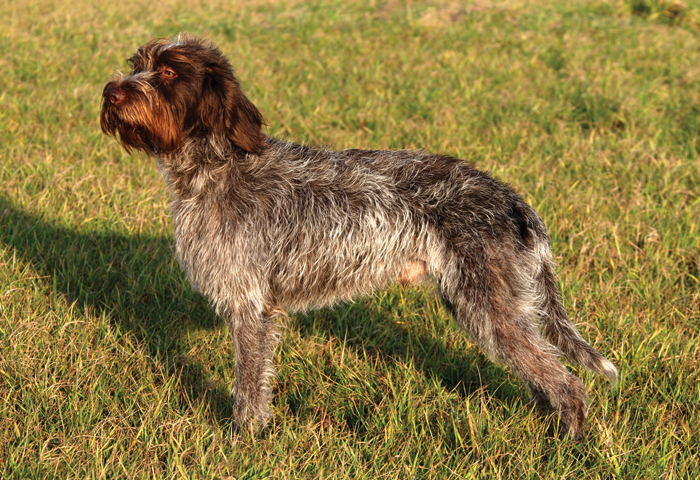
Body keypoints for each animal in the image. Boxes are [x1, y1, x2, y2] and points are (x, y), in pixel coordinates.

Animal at [100, 33, 616, 438]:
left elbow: (249, 388)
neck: (215, 166)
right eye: (136, 63)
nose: (110, 92)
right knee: (545, 373)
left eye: (168, 71)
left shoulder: (250, 308)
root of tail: (513, 200)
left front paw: (243, 441)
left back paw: (566, 444)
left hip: (488, 311)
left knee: (566, 382)